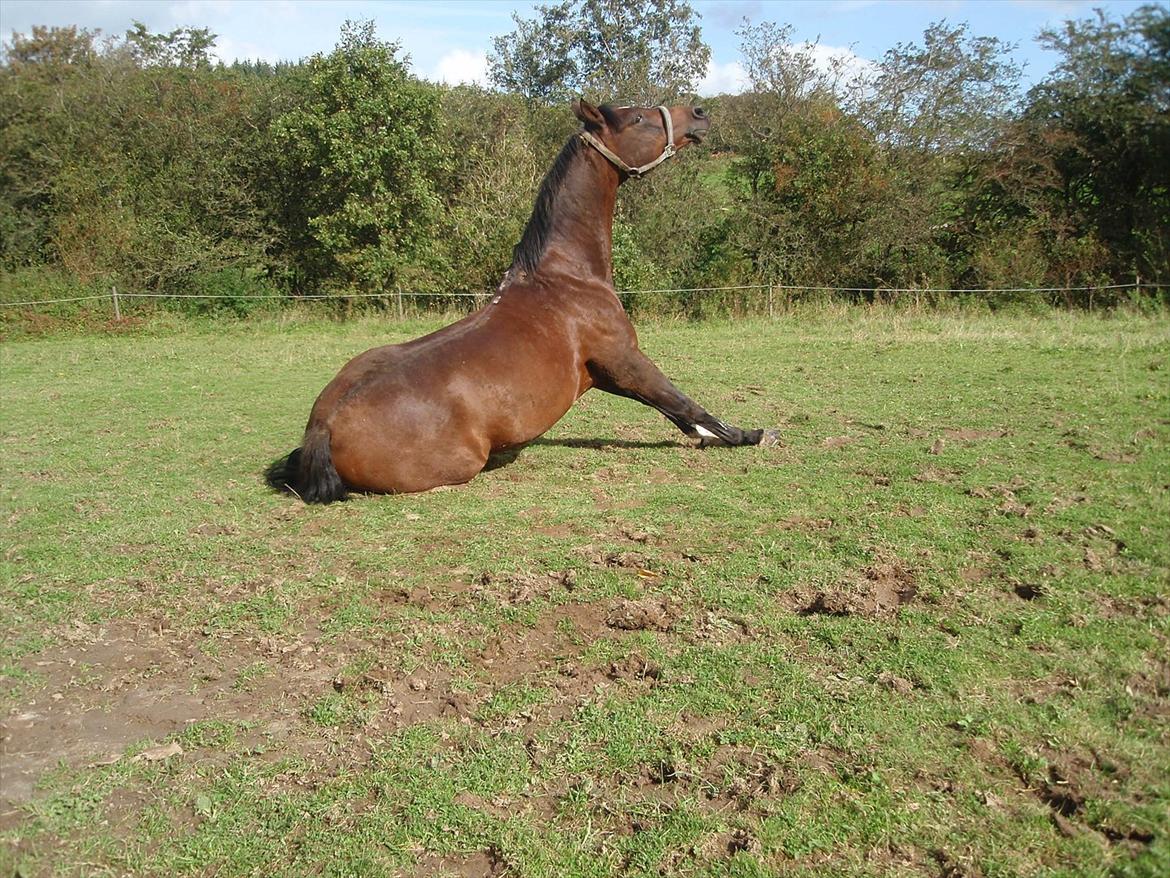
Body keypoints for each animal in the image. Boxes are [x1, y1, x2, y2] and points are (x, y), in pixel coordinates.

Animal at [267, 97, 776, 501]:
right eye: (636, 118)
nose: (698, 114)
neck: (567, 276)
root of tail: (325, 426)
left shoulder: (610, 374)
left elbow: (678, 414)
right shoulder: (625, 361)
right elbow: (684, 402)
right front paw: (752, 434)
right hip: (460, 465)